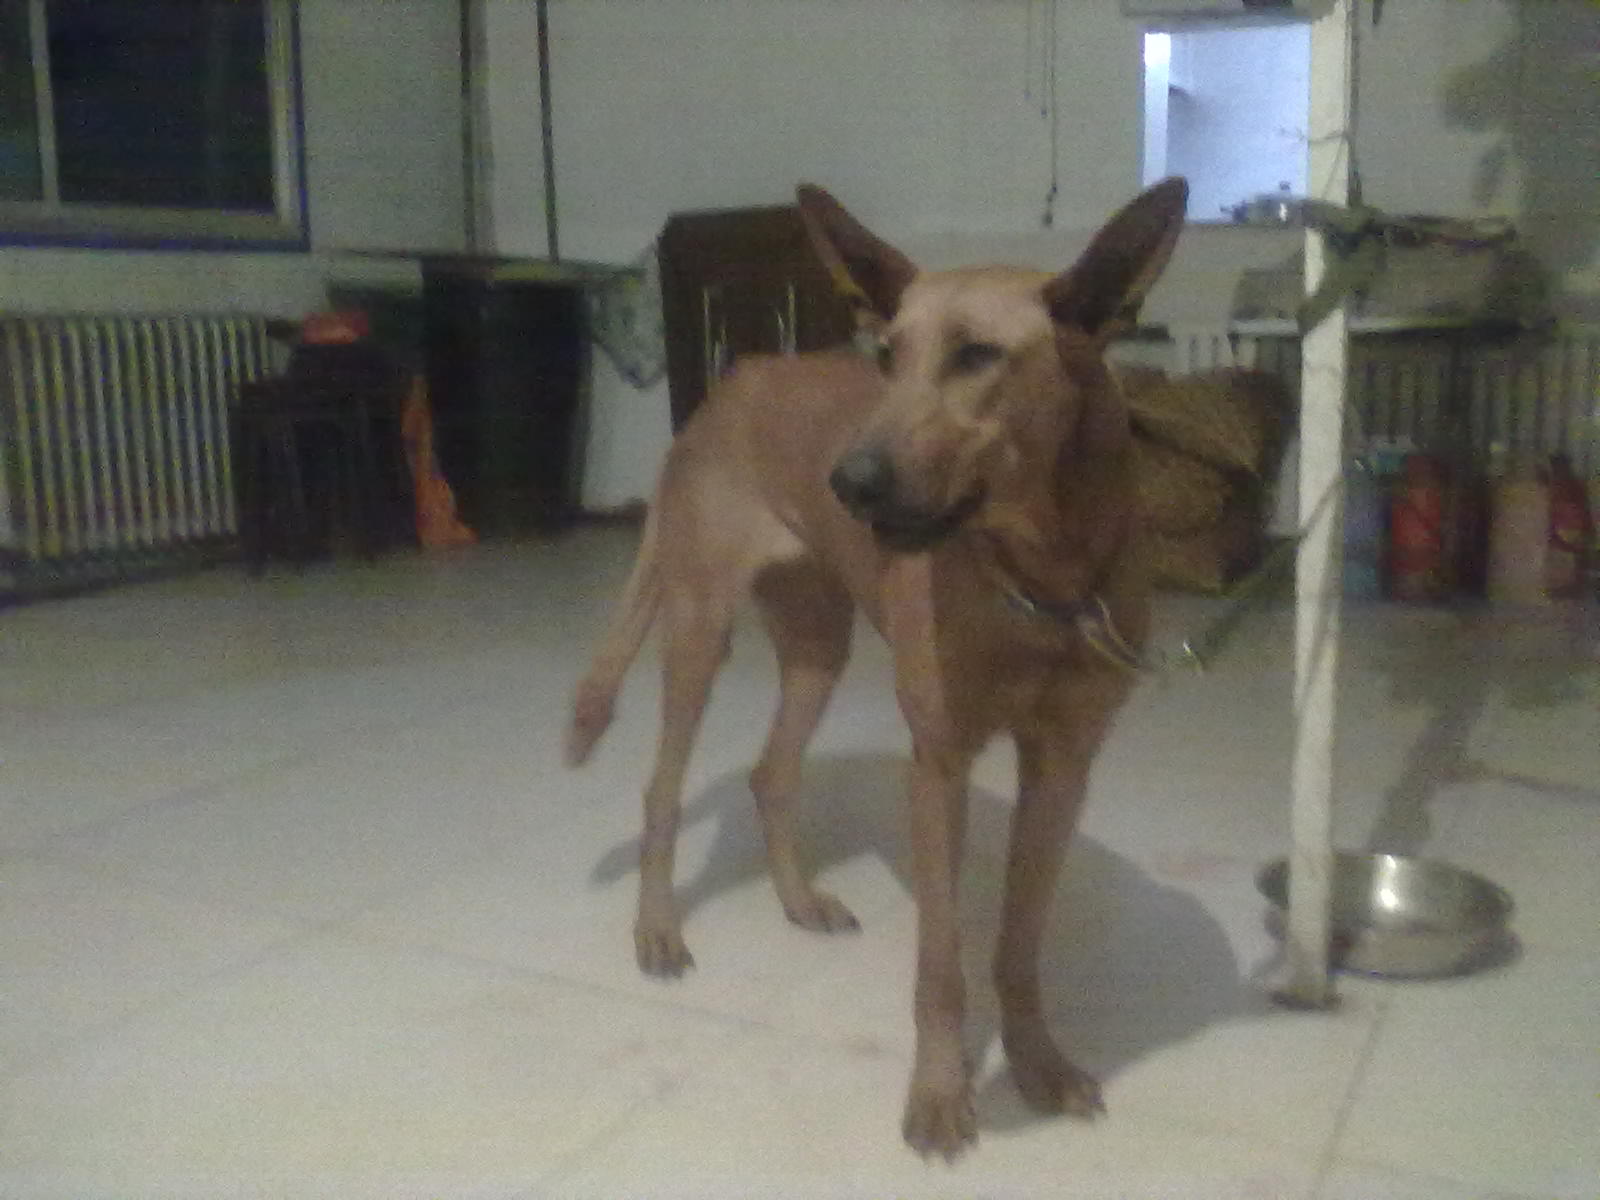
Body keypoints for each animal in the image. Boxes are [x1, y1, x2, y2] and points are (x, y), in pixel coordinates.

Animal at [566, 177, 1188, 1159]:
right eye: (887, 356)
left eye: (979, 356)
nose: (847, 484)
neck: (1038, 576)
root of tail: (736, 378)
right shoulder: (937, 767)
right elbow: (941, 961)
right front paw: (939, 1092)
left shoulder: (1062, 768)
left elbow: (1018, 946)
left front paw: (1036, 1065)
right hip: (698, 630)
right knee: (662, 789)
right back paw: (657, 929)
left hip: (818, 646)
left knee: (771, 774)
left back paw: (797, 901)